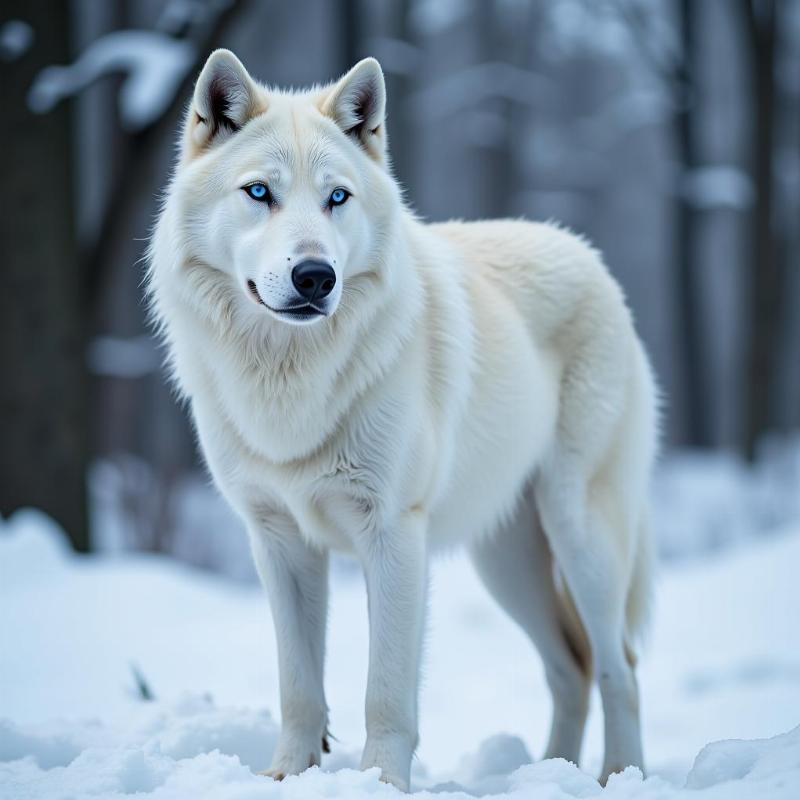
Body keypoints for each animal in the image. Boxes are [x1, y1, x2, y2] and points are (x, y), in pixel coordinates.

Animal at [148, 51, 656, 792]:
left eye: (337, 198)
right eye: (259, 193)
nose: (314, 276)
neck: (290, 380)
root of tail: (588, 255)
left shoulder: (392, 536)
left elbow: (385, 693)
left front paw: (381, 784)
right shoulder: (277, 542)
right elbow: (298, 687)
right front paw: (286, 777)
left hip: (580, 537)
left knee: (621, 666)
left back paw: (619, 776)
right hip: (505, 563)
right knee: (573, 667)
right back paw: (551, 770)